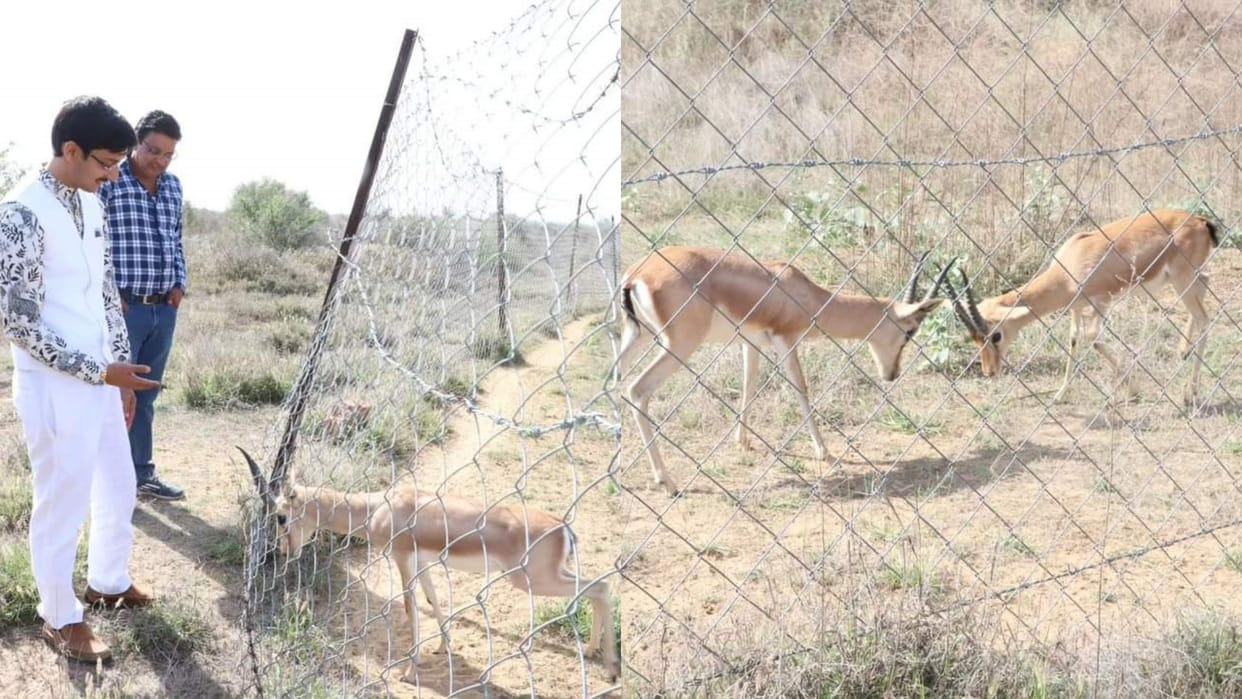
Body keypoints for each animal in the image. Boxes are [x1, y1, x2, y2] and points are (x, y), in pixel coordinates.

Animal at [238, 448, 619, 684]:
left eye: (280, 516)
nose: (284, 552)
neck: (378, 508)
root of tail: (563, 527)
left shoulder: (402, 559)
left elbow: (410, 608)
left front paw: (410, 670)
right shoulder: (423, 563)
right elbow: (433, 600)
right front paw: (444, 647)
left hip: (531, 581)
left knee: (601, 587)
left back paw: (610, 667)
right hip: (549, 575)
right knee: (597, 587)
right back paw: (593, 650)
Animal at [617, 246, 954, 496]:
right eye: (910, 331)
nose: (891, 374)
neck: (803, 293)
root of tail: (637, 275)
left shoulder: (750, 342)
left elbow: (749, 385)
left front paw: (743, 441)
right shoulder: (786, 339)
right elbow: (801, 389)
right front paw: (824, 452)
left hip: (637, 337)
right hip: (679, 345)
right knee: (637, 390)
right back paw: (668, 482)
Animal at [942, 208, 1219, 406]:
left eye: (996, 335)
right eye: (974, 338)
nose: (989, 371)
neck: (1069, 267)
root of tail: (1200, 221)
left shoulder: (1101, 302)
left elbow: (1093, 337)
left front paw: (1134, 391)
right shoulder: (1076, 307)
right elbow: (1074, 339)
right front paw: (1059, 395)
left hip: (1182, 280)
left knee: (1204, 318)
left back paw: (1190, 394)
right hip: (1187, 279)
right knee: (1205, 285)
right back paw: (1183, 351)